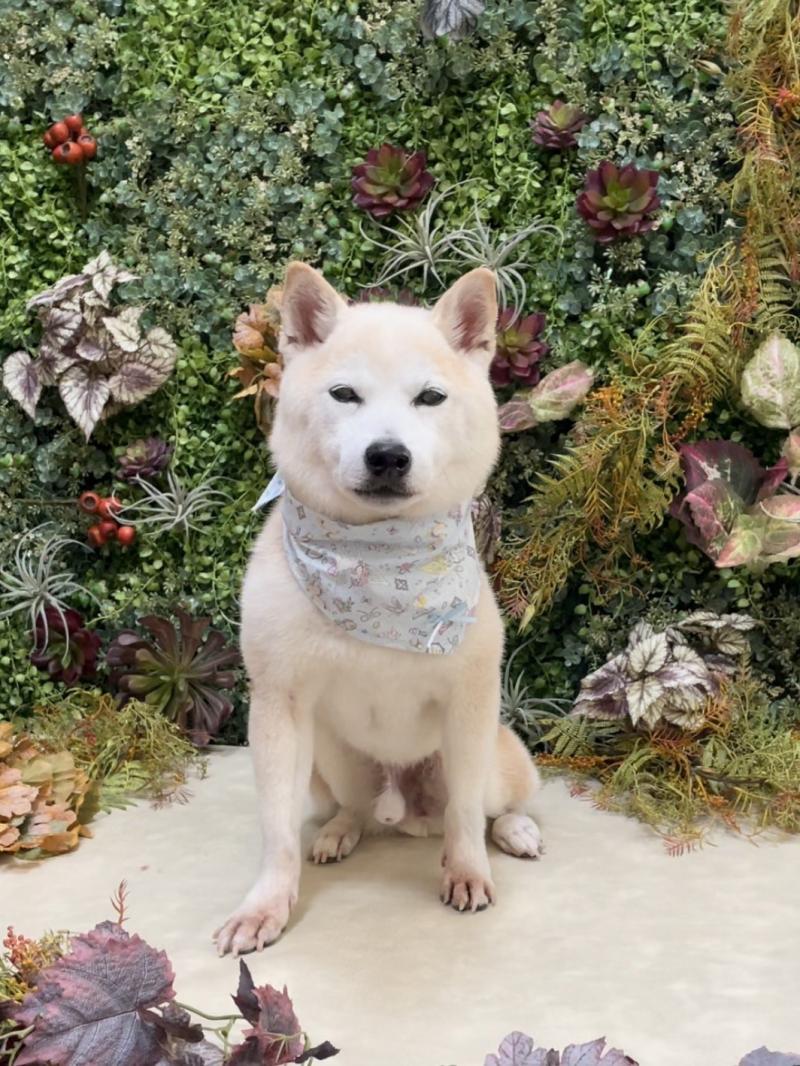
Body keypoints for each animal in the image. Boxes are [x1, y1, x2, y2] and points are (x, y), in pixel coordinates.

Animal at [215, 263, 543, 956]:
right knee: (356, 809)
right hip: (329, 763)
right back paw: (341, 831)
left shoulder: (470, 704)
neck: (380, 565)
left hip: (494, 758)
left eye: (430, 398)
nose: (388, 455)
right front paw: (266, 905)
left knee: (484, 807)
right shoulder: (279, 705)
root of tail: (406, 810)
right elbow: (276, 832)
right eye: (344, 394)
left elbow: (466, 818)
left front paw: (468, 871)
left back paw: (513, 832)